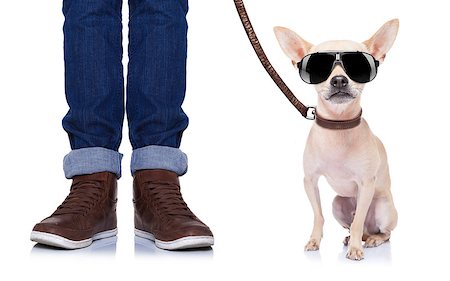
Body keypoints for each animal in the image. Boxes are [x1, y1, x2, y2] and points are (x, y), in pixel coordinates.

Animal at [272, 19, 400, 260]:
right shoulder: (310, 180)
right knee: (355, 225)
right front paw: (314, 240)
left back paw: (371, 239)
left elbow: (358, 220)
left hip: (384, 207)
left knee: (382, 231)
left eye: (359, 66)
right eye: (318, 67)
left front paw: (356, 250)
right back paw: (352, 238)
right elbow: (318, 215)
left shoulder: (366, 184)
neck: (339, 125)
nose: (339, 79)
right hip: (337, 202)